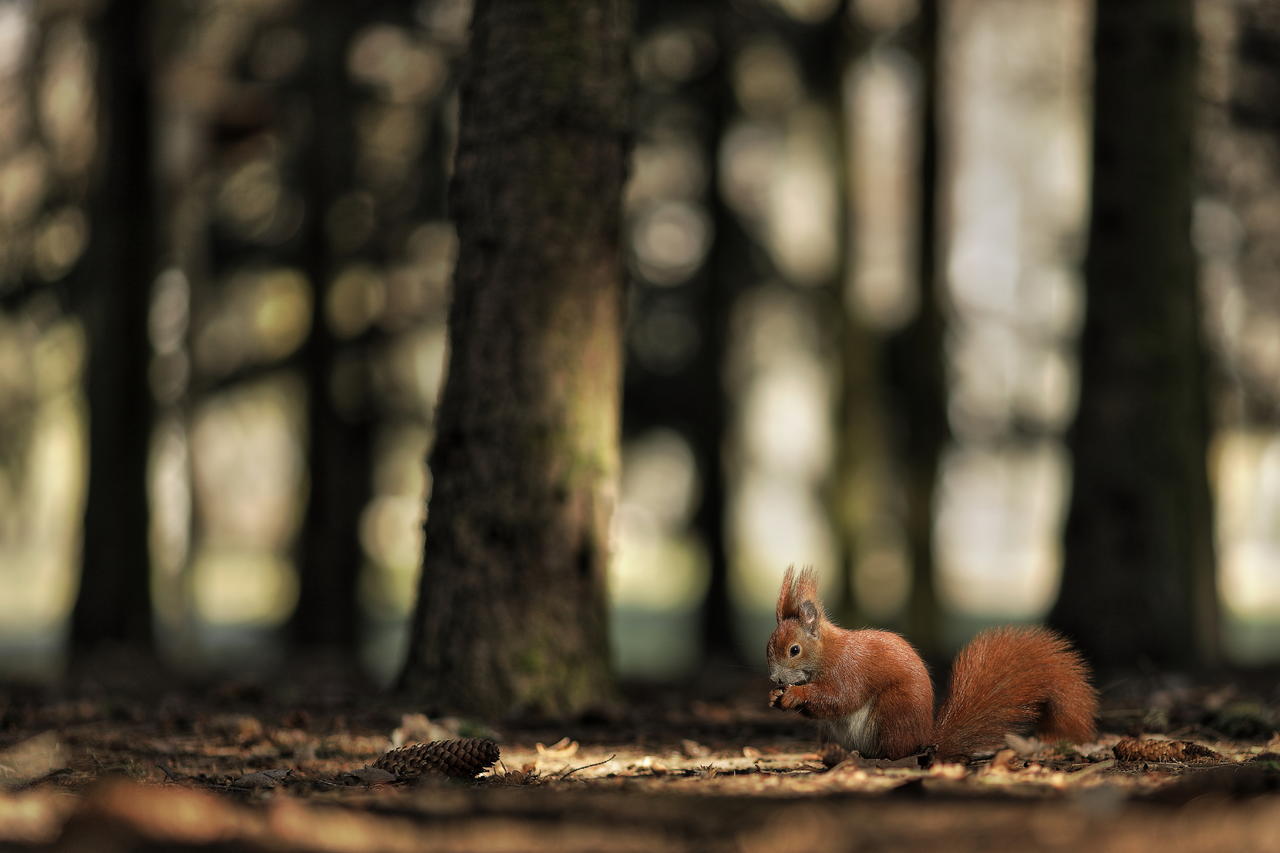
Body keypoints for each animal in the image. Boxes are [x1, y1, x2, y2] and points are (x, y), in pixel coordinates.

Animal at [762, 563, 1095, 758]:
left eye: (794, 650)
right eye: (768, 648)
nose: (775, 679)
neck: (828, 653)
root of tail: (927, 742)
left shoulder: (850, 669)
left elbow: (841, 698)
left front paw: (795, 694)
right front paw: (775, 697)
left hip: (893, 714)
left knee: (895, 752)